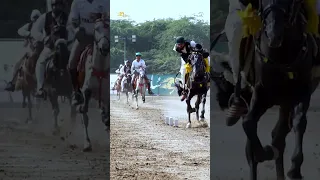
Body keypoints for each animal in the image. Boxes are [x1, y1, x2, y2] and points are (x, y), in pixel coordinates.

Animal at [76, 18, 110, 151]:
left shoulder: (106, 96)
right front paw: (87, 143)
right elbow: (84, 111)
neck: (99, 69)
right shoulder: (86, 90)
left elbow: (107, 116)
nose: (104, 47)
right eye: (96, 28)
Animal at [210, 0, 320, 179]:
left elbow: (299, 123)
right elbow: (248, 124)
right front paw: (266, 152)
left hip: (286, 101)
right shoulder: (260, 95)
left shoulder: (302, 92)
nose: (273, 34)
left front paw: (294, 168)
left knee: (279, 135)